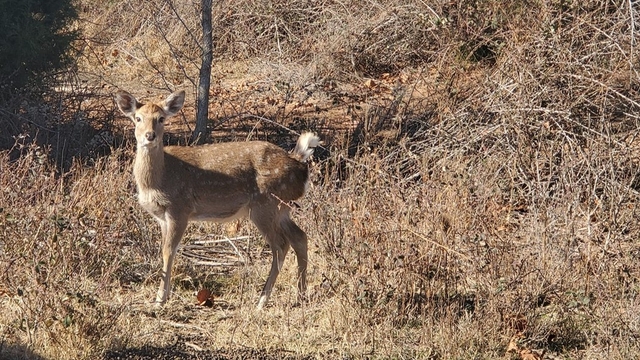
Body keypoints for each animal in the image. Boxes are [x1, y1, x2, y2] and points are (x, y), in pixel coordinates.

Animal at [115, 90, 320, 310]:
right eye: (137, 118)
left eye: (161, 118)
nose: (150, 136)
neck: (159, 177)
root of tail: (300, 164)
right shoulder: (162, 217)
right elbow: (164, 250)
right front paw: (164, 296)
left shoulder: (180, 209)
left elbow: (168, 251)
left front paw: (159, 300)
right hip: (282, 208)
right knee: (300, 237)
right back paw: (300, 295)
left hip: (265, 205)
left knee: (281, 245)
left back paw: (262, 300)